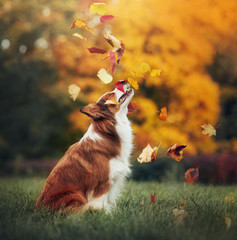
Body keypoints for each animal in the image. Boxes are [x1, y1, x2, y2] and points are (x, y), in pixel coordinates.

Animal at [35, 81, 134, 212]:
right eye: (110, 95)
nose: (123, 81)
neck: (109, 133)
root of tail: (38, 208)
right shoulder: (102, 182)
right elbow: (100, 202)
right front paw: (105, 213)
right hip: (73, 194)